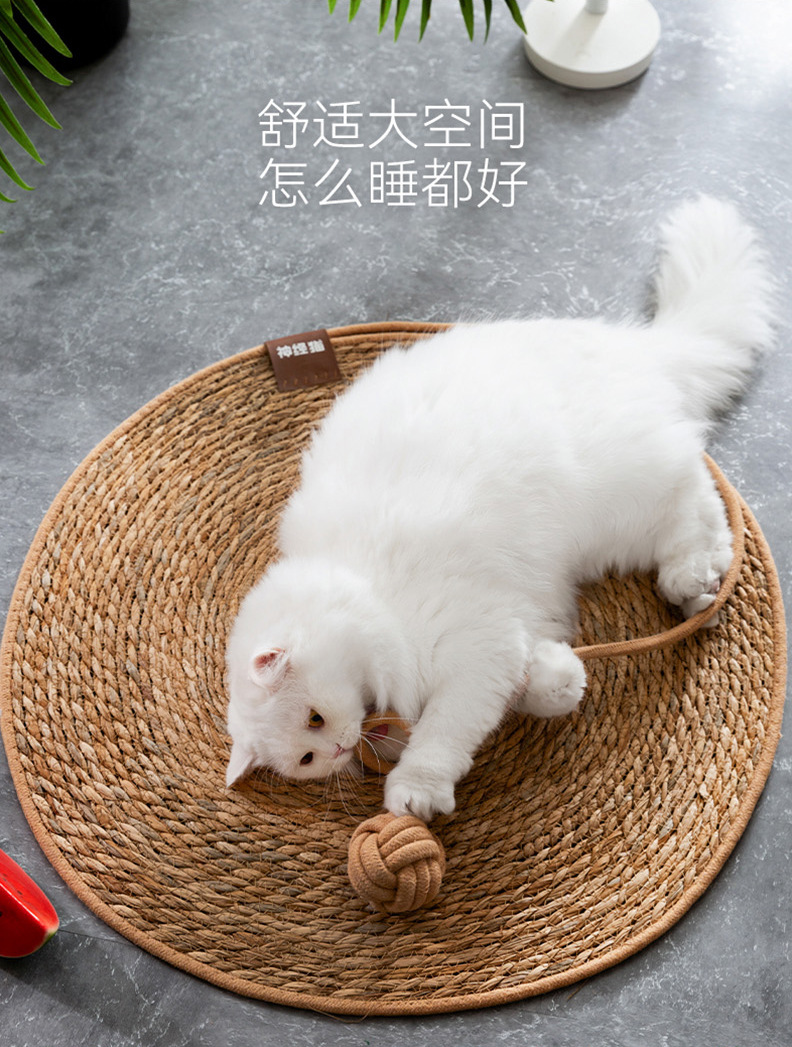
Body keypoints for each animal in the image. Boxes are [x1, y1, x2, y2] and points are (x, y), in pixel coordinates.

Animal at [224, 196, 774, 822]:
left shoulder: (474, 644)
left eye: (314, 720)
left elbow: (447, 730)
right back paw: (697, 593)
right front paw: (560, 681)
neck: (359, 585)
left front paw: (415, 790)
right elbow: (532, 679)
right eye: (307, 758)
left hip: (617, 499)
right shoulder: (510, 634)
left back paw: (692, 580)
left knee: (698, 495)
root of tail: (626, 343)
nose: (340, 748)